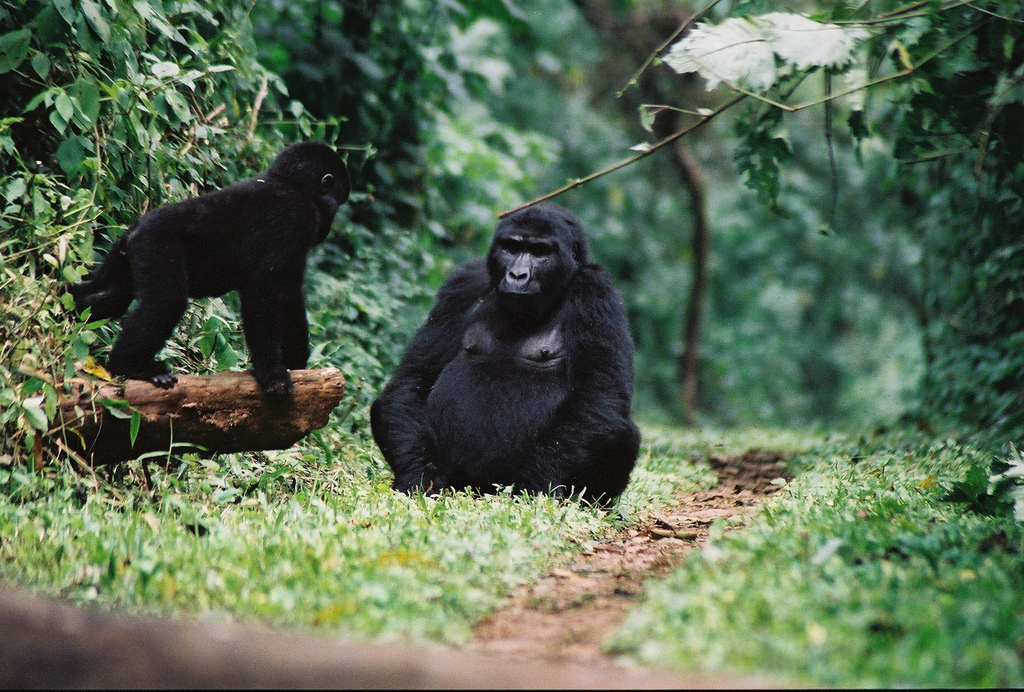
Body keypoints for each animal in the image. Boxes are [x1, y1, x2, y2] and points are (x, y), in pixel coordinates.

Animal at [71, 140, 352, 395]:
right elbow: (263, 290)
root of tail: (136, 229)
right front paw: (273, 372)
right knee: (165, 302)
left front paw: (297, 363)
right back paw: (130, 365)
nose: (329, 225)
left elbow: (289, 294)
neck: (290, 183)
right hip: (155, 241)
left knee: (110, 296)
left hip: (126, 251)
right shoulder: (296, 218)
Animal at [368, 202, 638, 499]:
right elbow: (414, 378)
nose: (517, 275)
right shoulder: (463, 284)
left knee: (619, 431)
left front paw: (535, 485)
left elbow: (600, 395)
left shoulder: (596, 289)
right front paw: (418, 475)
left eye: (540, 252)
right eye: (510, 247)